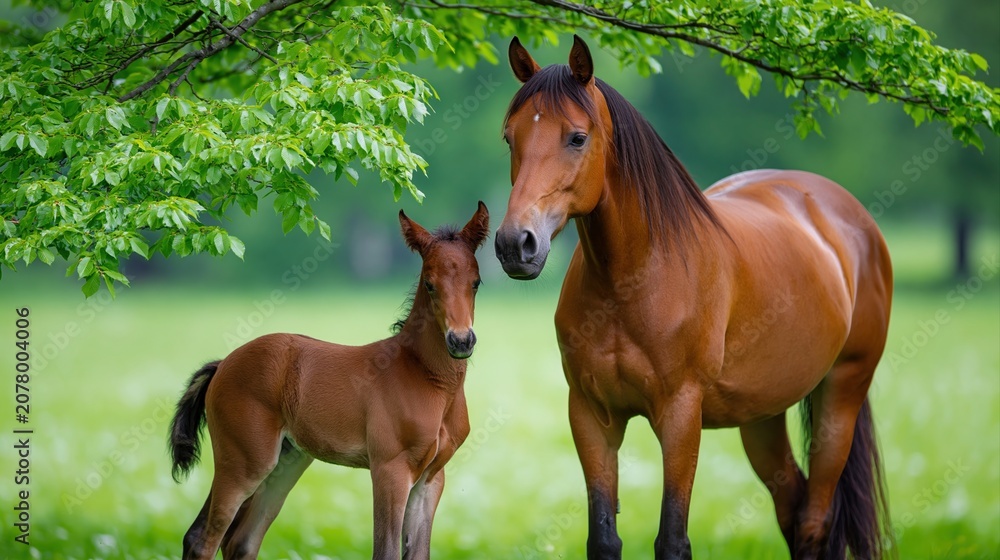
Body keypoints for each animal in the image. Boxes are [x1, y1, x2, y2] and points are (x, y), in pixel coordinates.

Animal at [168, 202, 489, 559]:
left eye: (476, 282)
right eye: (430, 284)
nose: (461, 341)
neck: (428, 378)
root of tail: (223, 363)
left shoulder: (431, 478)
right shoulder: (390, 470)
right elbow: (385, 551)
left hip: (285, 462)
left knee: (238, 540)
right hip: (244, 462)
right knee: (205, 540)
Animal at [494, 36, 893, 560]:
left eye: (577, 137)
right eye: (509, 137)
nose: (514, 243)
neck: (630, 282)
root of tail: (849, 217)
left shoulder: (681, 416)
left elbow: (672, 540)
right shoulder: (591, 415)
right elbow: (603, 538)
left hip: (841, 396)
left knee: (813, 521)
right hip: (763, 415)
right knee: (793, 508)